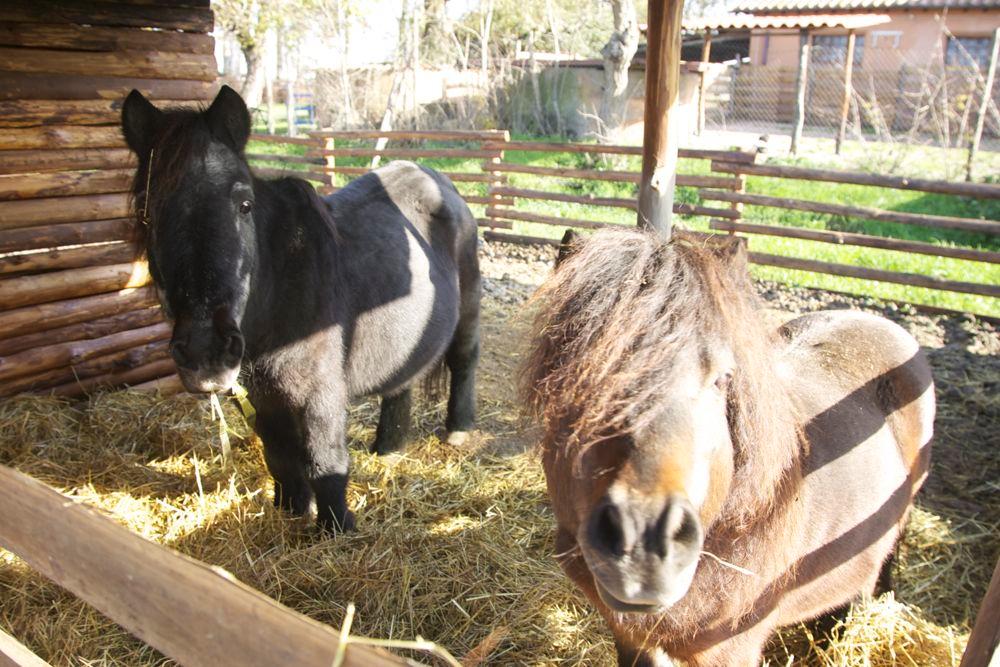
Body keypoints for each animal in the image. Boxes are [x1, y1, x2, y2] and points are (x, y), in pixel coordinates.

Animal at [120, 86, 481, 532]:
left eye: (244, 205)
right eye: (146, 214)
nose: (206, 353)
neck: (279, 291)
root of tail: (438, 179)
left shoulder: (319, 395)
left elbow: (325, 462)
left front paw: (337, 528)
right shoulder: (262, 397)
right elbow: (280, 459)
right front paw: (290, 510)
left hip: (469, 308)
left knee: (464, 360)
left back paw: (458, 430)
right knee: (402, 381)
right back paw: (389, 447)